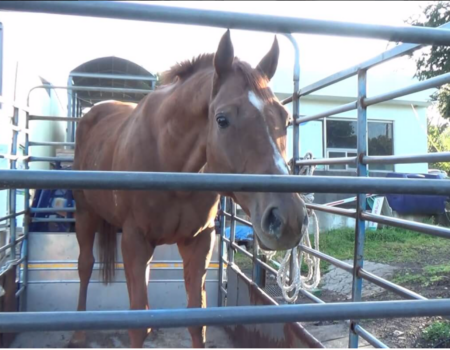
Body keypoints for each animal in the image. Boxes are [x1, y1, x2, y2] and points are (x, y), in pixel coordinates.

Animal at [71, 30, 310, 348]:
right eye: (222, 119)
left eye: (285, 118)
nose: (288, 219)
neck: (168, 159)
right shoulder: (135, 241)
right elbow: (137, 325)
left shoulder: (199, 242)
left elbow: (197, 320)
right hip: (85, 214)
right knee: (85, 265)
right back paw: (78, 332)